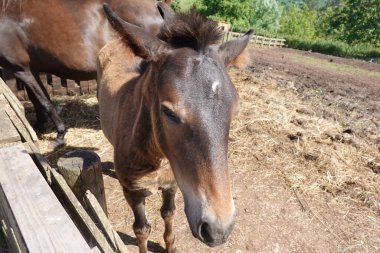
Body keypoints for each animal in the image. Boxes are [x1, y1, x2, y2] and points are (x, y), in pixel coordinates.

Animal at [0, 0, 171, 147]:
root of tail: (156, 6)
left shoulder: (20, 69)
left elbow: (45, 102)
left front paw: (59, 135)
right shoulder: (29, 69)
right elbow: (36, 100)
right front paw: (38, 126)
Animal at [98, 4, 252, 253]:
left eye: (235, 110)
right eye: (168, 112)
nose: (218, 230)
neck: (157, 158)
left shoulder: (173, 184)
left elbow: (168, 214)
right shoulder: (132, 192)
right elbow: (141, 229)